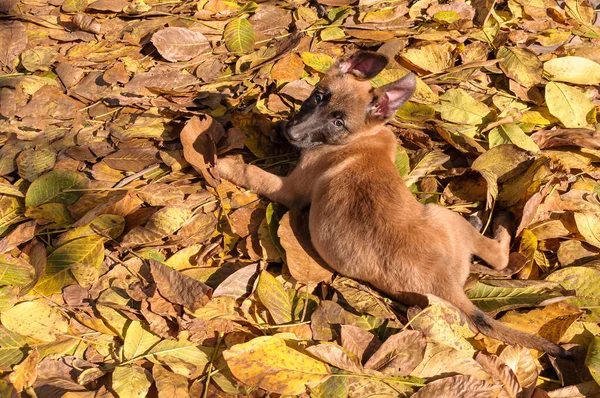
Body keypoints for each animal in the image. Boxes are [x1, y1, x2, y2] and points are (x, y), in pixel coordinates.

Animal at [217, 50, 568, 358]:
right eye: (318, 96)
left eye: (338, 123)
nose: (292, 132)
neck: (362, 140)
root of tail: (448, 289)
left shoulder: (291, 189)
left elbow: (254, 174)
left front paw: (222, 165)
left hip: (440, 212)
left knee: (498, 255)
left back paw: (500, 222)